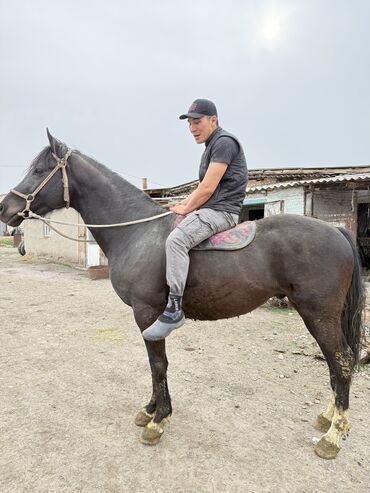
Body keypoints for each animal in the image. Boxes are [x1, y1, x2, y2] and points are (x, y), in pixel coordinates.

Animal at [0, 131, 364, 458]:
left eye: (38, 170)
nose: (5, 208)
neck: (137, 231)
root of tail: (337, 230)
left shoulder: (147, 313)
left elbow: (158, 364)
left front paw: (158, 420)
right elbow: (154, 365)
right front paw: (151, 410)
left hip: (318, 314)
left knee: (343, 361)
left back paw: (333, 435)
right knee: (335, 363)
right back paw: (329, 418)